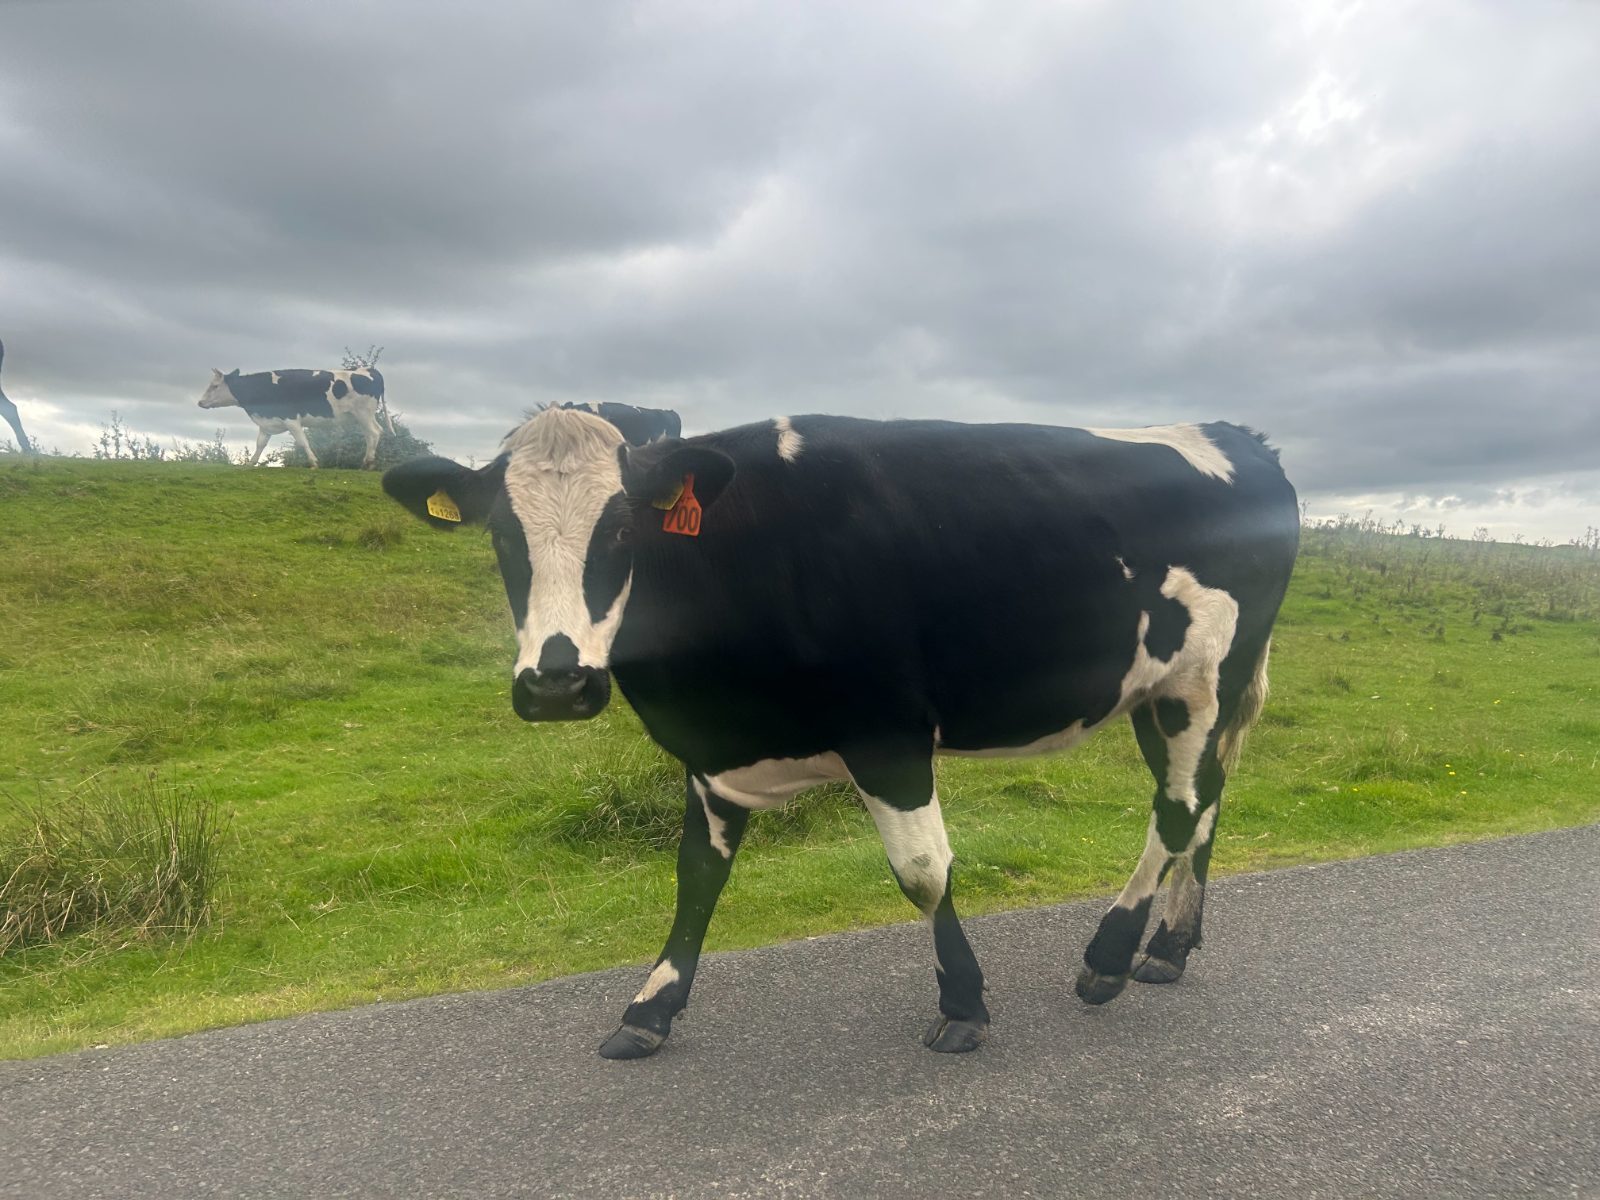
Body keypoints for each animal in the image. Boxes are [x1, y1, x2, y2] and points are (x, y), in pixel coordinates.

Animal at [198, 367, 392, 468]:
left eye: (215, 386)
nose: (200, 402)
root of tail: (368, 369)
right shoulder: (267, 423)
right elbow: (260, 443)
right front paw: (251, 462)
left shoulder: (291, 419)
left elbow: (302, 441)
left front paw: (313, 462)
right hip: (362, 416)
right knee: (372, 434)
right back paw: (368, 461)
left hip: (363, 413)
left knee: (375, 432)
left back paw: (368, 462)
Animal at [383, 408, 1300, 1059]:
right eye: (503, 535)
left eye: (621, 528)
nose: (557, 683)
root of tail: (1239, 437)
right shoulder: (715, 754)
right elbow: (696, 878)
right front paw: (651, 1008)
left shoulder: (888, 731)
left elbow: (924, 873)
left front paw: (962, 1005)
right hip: (1161, 690)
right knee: (1202, 800)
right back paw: (1170, 947)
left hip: (1202, 676)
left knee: (1179, 809)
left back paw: (1109, 955)